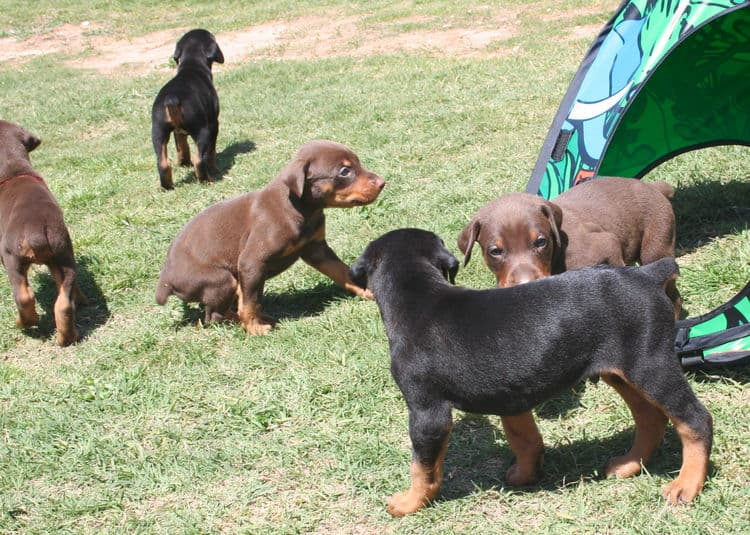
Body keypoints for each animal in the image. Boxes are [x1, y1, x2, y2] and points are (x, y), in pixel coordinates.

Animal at [0, 120, 86, 348]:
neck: (13, 170)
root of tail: (35, 234)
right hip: (63, 256)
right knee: (64, 303)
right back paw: (68, 336)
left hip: (12, 259)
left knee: (24, 296)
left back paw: (25, 323)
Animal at [151, 28, 223, 191]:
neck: (192, 64)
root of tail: (172, 98)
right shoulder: (214, 123)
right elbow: (211, 151)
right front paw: (215, 168)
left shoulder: (178, 131)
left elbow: (182, 146)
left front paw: (184, 163)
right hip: (203, 130)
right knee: (200, 159)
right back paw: (208, 180)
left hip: (157, 131)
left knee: (162, 163)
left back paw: (166, 187)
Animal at [155, 140, 384, 332]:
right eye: (345, 171)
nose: (382, 182)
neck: (301, 209)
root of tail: (165, 280)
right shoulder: (252, 262)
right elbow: (251, 302)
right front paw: (254, 328)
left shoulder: (316, 249)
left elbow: (342, 271)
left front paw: (366, 290)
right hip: (221, 279)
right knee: (215, 316)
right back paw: (247, 323)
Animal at [352, 228, 716, 516]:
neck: (419, 295)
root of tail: (647, 275)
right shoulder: (509, 392)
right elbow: (523, 437)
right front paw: (524, 475)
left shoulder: (427, 411)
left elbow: (422, 466)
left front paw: (409, 502)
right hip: (622, 371)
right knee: (650, 418)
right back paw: (629, 465)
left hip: (651, 364)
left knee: (694, 419)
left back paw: (686, 484)